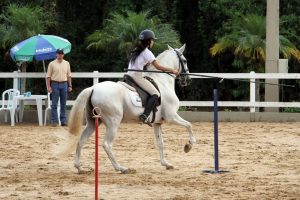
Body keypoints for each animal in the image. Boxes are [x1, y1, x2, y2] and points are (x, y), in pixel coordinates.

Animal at [65, 43, 197, 173]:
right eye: (184, 61)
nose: (188, 80)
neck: (163, 82)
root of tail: (93, 88)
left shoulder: (157, 123)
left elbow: (160, 143)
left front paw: (166, 164)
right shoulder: (171, 117)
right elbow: (189, 125)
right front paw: (188, 146)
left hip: (93, 122)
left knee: (81, 140)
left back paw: (80, 168)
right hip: (113, 122)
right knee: (107, 144)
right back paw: (121, 168)